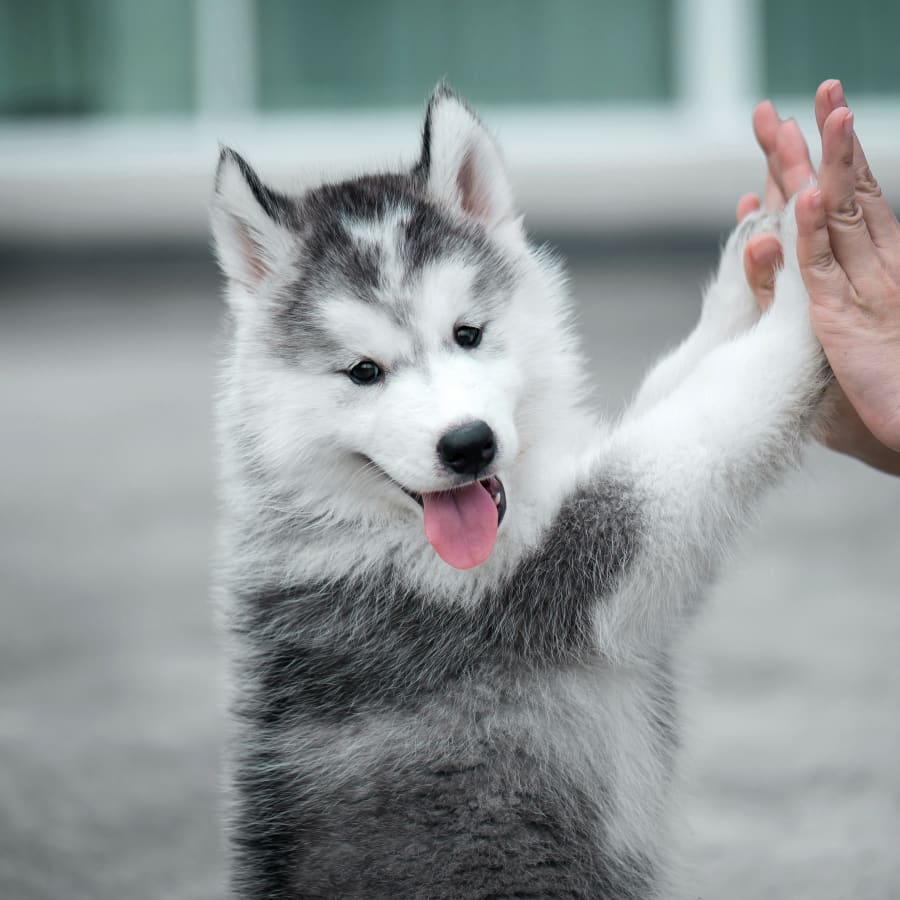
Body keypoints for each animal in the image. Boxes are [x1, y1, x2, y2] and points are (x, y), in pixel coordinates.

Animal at [209, 86, 824, 900]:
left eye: (468, 334)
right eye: (364, 371)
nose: (468, 444)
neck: (367, 523)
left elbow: (679, 382)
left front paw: (750, 271)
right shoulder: (568, 566)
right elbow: (708, 417)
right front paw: (812, 281)